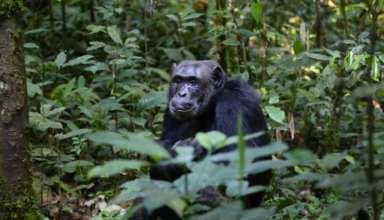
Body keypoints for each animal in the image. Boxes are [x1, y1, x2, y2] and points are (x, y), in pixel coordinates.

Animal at [142, 60, 272, 220]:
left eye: (193, 82)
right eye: (178, 81)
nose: (181, 93)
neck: (213, 101)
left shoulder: (236, 103)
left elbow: (238, 162)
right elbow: (163, 143)